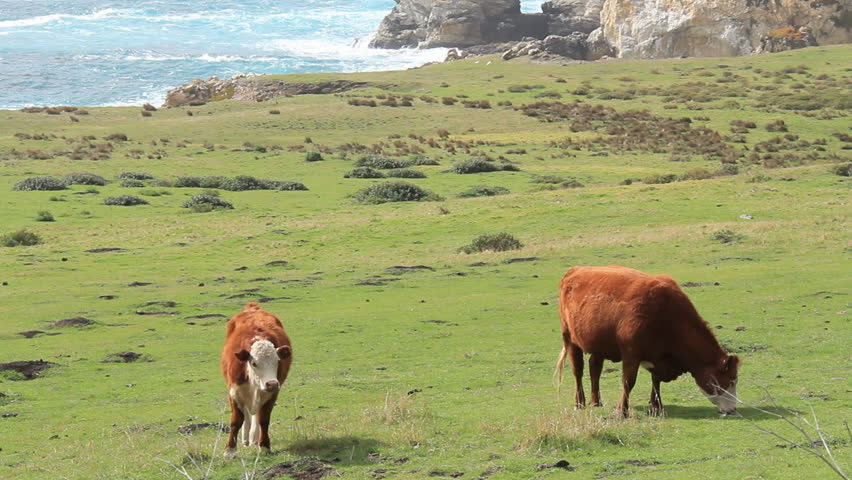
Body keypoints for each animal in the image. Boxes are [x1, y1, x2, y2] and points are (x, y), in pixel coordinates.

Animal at [221, 302, 292, 454]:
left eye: (277, 361)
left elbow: (263, 419)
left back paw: (253, 437)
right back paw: (246, 438)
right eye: (254, 363)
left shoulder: (272, 394)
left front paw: (264, 446)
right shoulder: (234, 392)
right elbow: (236, 421)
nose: (271, 383)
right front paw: (230, 450)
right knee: (247, 415)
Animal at [555, 265, 740, 417]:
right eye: (730, 381)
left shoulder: (657, 356)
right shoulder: (631, 354)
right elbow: (628, 382)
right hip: (569, 338)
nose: (733, 409)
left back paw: (596, 401)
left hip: (599, 344)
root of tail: (575, 270)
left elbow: (656, 381)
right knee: (578, 371)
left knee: (595, 367)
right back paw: (580, 402)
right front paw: (622, 411)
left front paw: (656, 407)